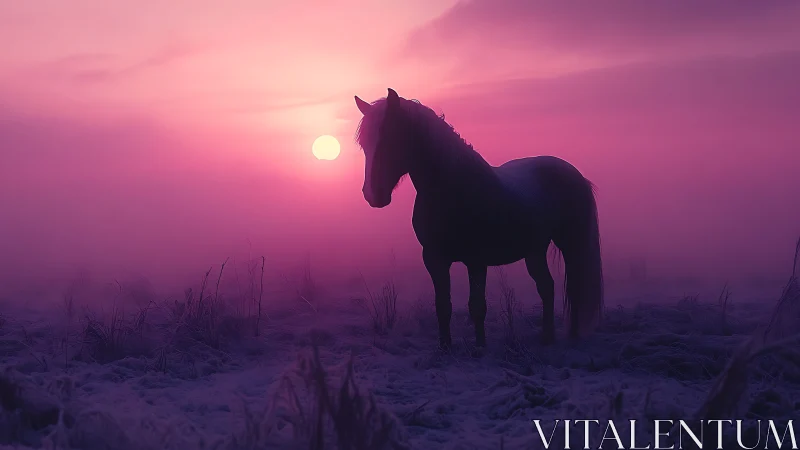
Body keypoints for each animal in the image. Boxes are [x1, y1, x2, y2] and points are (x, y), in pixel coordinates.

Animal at [353, 88, 603, 349]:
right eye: (364, 144)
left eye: (390, 138)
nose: (373, 195)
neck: (453, 190)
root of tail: (574, 173)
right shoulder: (434, 258)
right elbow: (443, 306)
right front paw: (445, 348)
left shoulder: (476, 260)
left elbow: (477, 306)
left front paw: (480, 348)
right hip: (535, 250)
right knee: (547, 287)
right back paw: (547, 337)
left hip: (570, 244)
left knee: (574, 285)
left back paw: (572, 336)